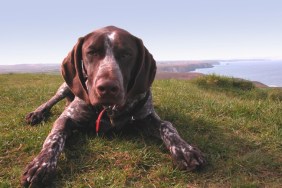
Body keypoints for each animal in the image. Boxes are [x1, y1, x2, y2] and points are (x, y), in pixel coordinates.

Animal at [21, 26, 205, 187]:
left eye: (126, 54)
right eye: (91, 52)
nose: (107, 88)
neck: (109, 109)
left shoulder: (147, 116)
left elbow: (167, 126)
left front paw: (184, 149)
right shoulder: (67, 117)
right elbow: (55, 138)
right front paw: (42, 164)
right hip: (65, 87)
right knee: (52, 100)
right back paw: (37, 113)